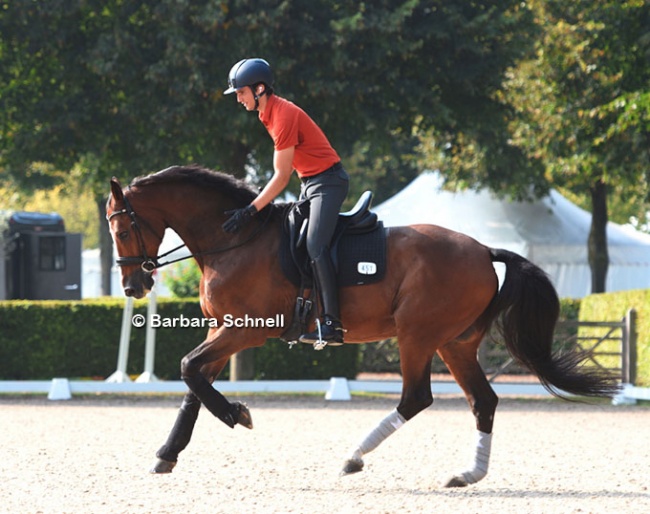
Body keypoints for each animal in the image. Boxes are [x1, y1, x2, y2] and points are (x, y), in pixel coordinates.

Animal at [106, 164, 616, 484]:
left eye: (123, 228)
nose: (133, 285)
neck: (234, 239)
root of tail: (483, 249)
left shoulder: (246, 328)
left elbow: (189, 369)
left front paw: (236, 415)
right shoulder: (222, 329)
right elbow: (194, 381)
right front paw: (168, 454)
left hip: (416, 336)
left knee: (416, 398)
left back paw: (353, 458)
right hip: (453, 344)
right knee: (483, 401)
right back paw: (468, 474)